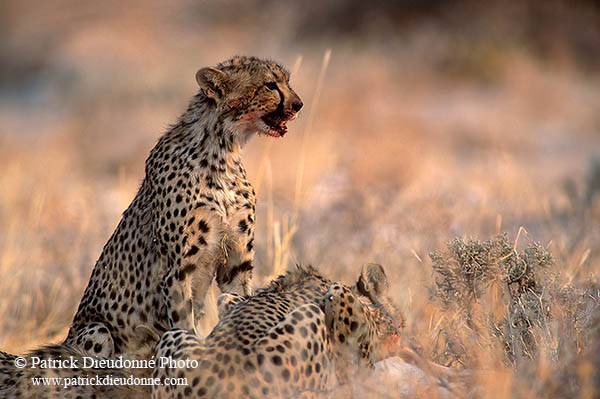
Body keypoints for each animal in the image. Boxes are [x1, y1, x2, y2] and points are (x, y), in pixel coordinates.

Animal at [150, 264, 406, 398]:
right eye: (398, 330)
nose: (403, 340)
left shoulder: (229, 300)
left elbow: (227, 299)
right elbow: (356, 373)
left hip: (172, 336)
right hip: (308, 319)